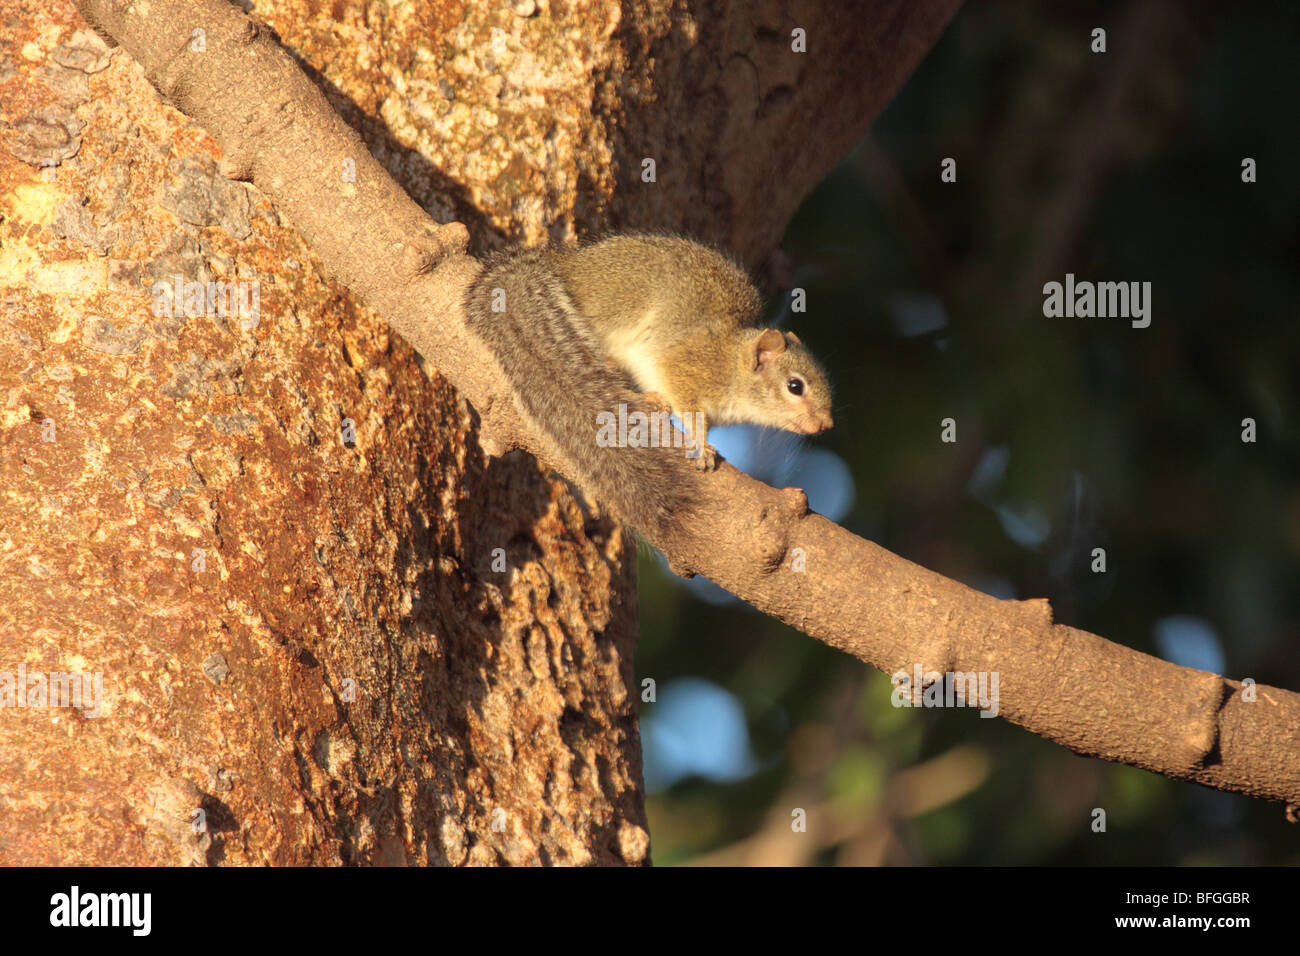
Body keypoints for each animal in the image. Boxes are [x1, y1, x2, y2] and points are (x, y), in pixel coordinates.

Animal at [465, 234, 832, 538]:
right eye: (795, 386)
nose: (825, 424)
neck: (730, 366)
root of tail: (565, 266)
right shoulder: (685, 367)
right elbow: (692, 409)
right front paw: (702, 445)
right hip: (619, 309)